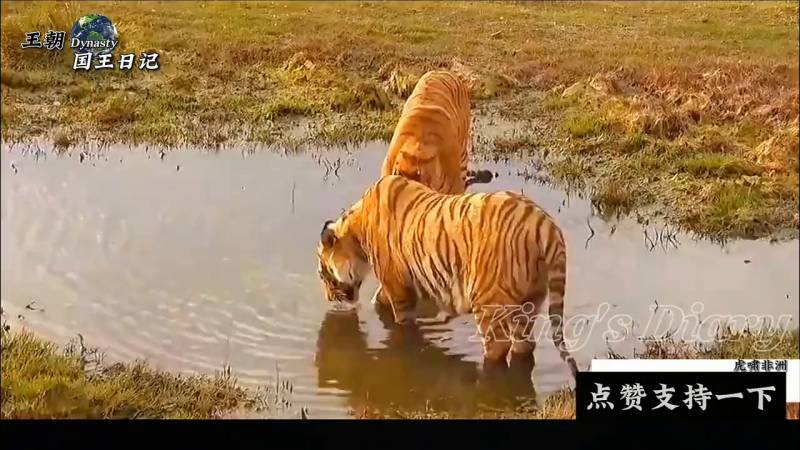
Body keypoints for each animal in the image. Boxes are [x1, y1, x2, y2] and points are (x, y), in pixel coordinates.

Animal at [316, 174, 580, 378]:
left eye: (322, 275)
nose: (329, 298)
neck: (357, 231)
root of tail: (545, 226)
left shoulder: (397, 285)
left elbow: (401, 321)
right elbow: (379, 300)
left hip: (487, 301)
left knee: (498, 347)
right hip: (529, 302)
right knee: (524, 345)